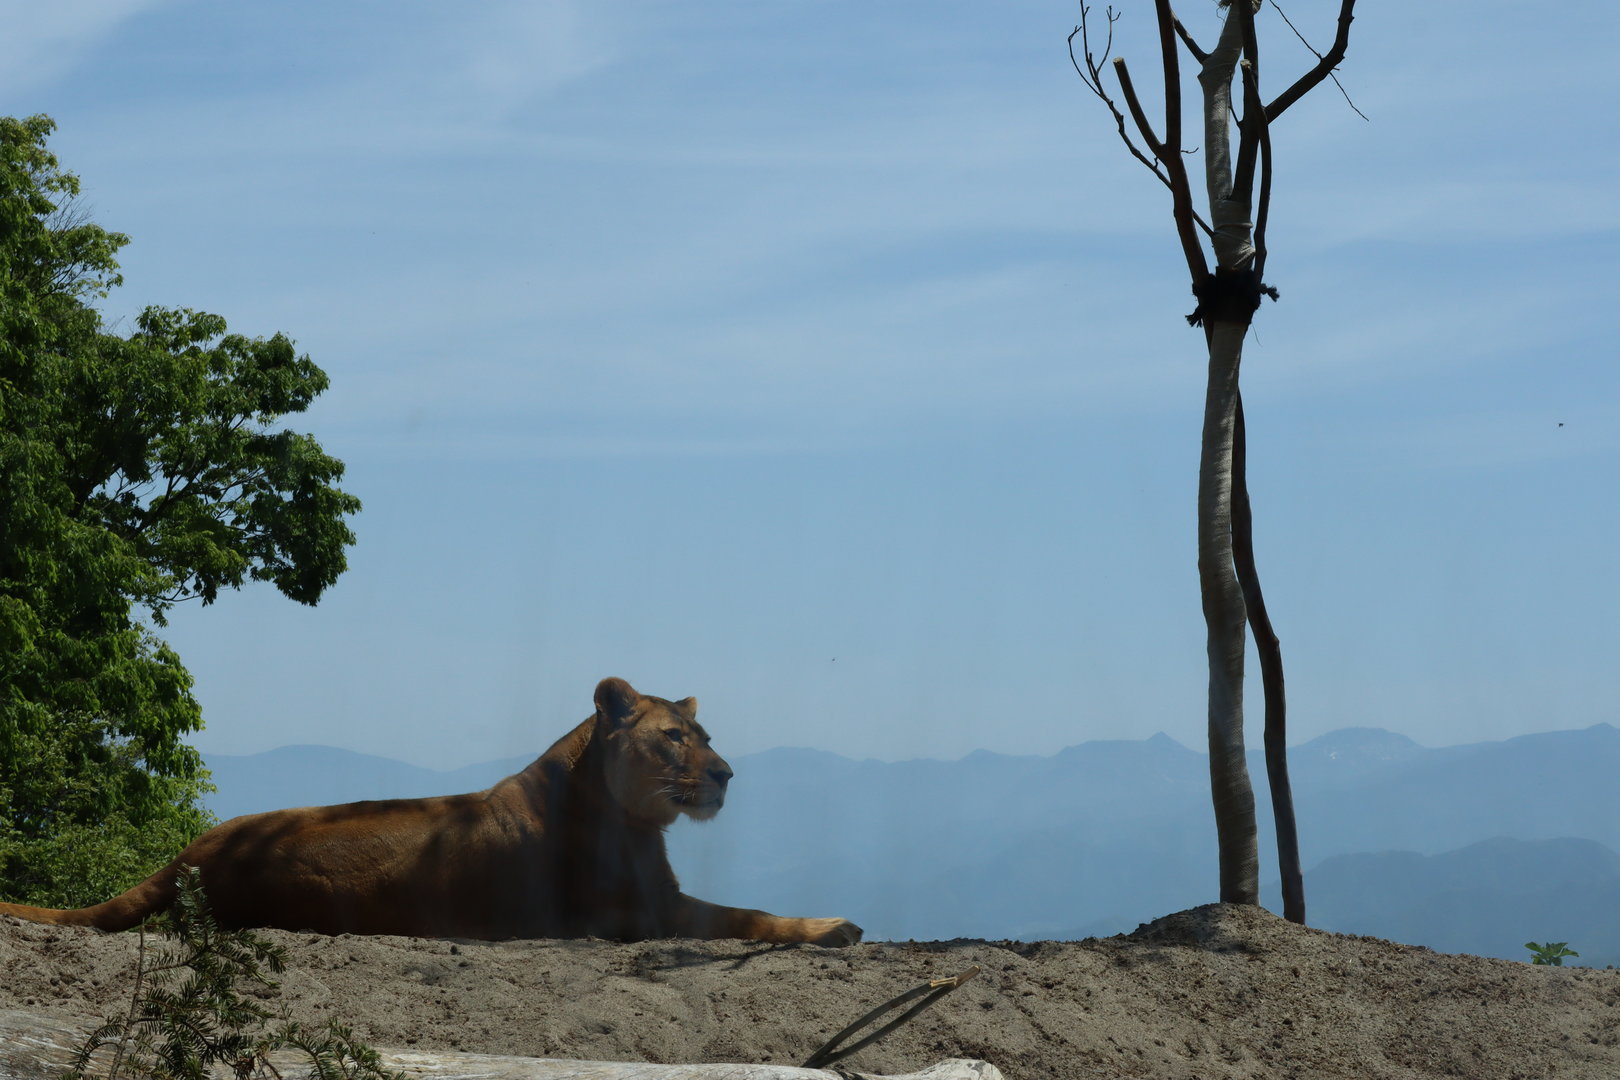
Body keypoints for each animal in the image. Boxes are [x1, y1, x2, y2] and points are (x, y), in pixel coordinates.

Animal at [0, 678, 862, 946]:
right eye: (674, 737)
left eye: (707, 736)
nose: (725, 774)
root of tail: (191, 854)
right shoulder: (640, 913)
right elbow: (748, 916)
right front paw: (833, 926)